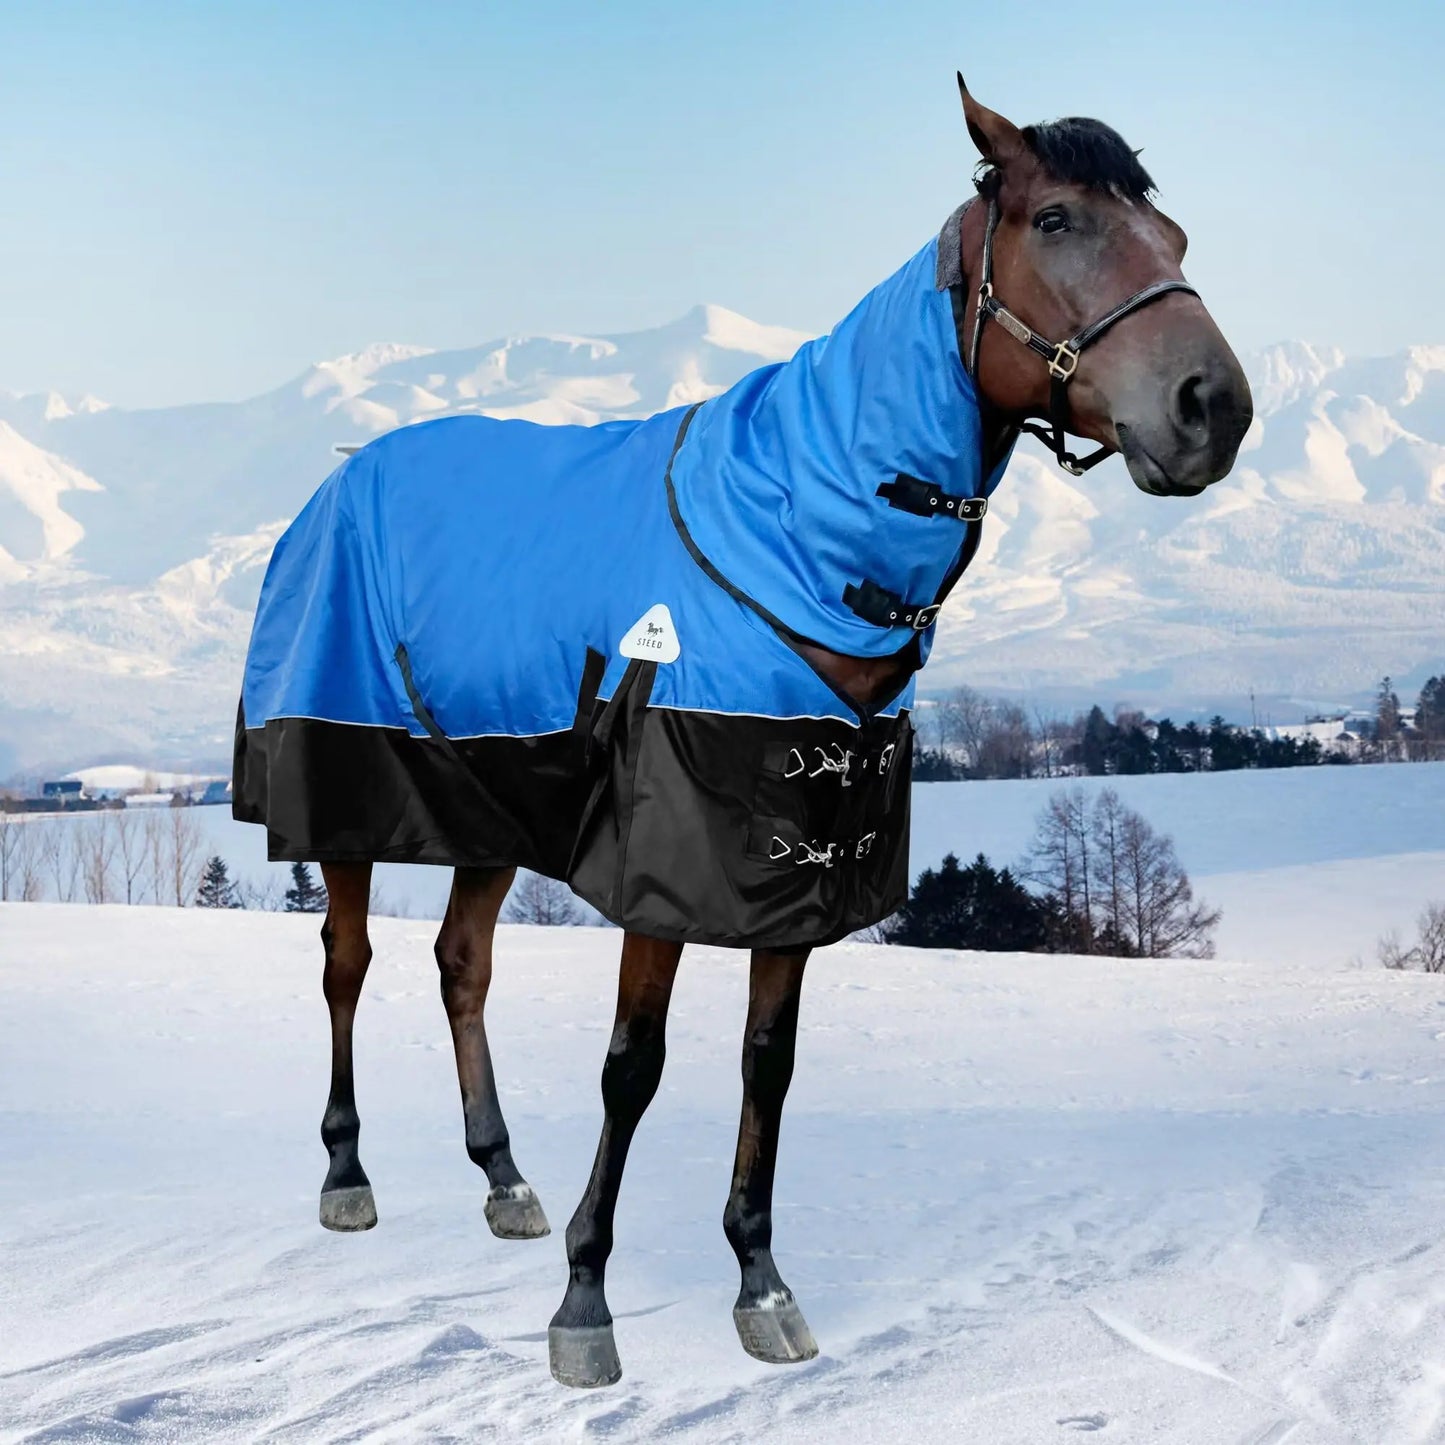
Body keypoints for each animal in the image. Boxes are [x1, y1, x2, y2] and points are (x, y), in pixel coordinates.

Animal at [233, 76, 1253, 1389]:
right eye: (1058, 220)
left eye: (1171, 237)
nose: (1212, 408)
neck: (795, 529)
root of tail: (336, 481)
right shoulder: (661, 858)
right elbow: (633, 1064)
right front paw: (584, 1303)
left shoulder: (799, 858)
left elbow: (766, 1060)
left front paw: (760, 1283)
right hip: (351, 780)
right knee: (346, 962)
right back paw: (348, 1171)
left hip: (493, 800)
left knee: (461, 962)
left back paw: (502, 1175)